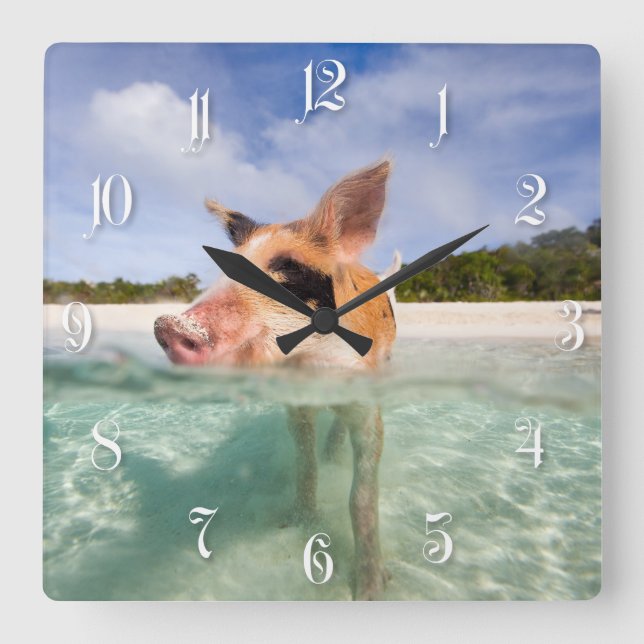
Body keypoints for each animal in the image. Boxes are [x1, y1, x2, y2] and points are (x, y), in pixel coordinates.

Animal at [154, 159, 396, 599]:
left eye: (286, 265)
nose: (167, 324)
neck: (310, 366)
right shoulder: (294, 409)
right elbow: (306, 467)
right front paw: (294, 525)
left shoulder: (367, 405)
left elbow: (362, 495)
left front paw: (370, 591)